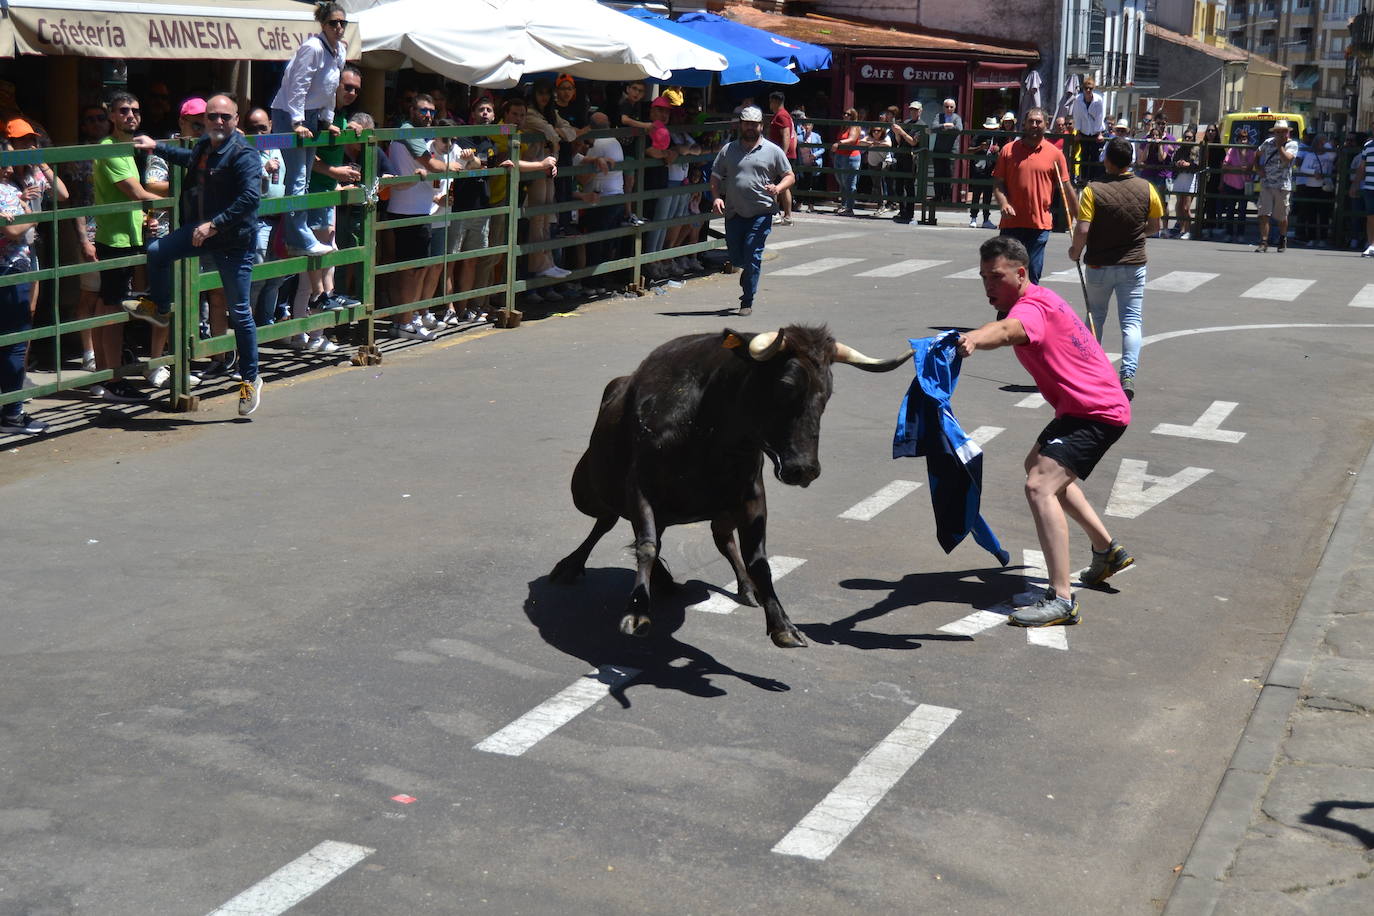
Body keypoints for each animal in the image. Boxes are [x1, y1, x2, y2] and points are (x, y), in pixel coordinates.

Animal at [546, 325, 912, 648]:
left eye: (827, 393)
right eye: (785, 386)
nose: (804, 469)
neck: (707, 427)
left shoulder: (752, 496)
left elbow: (758, 561)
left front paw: (782, 624)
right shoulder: (640, 488)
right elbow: (647, 545)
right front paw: (637, 613)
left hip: (720, 509)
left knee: (721, 540)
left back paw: (739, 588)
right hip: (587, 493)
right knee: (609, 523)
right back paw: (572, 566)